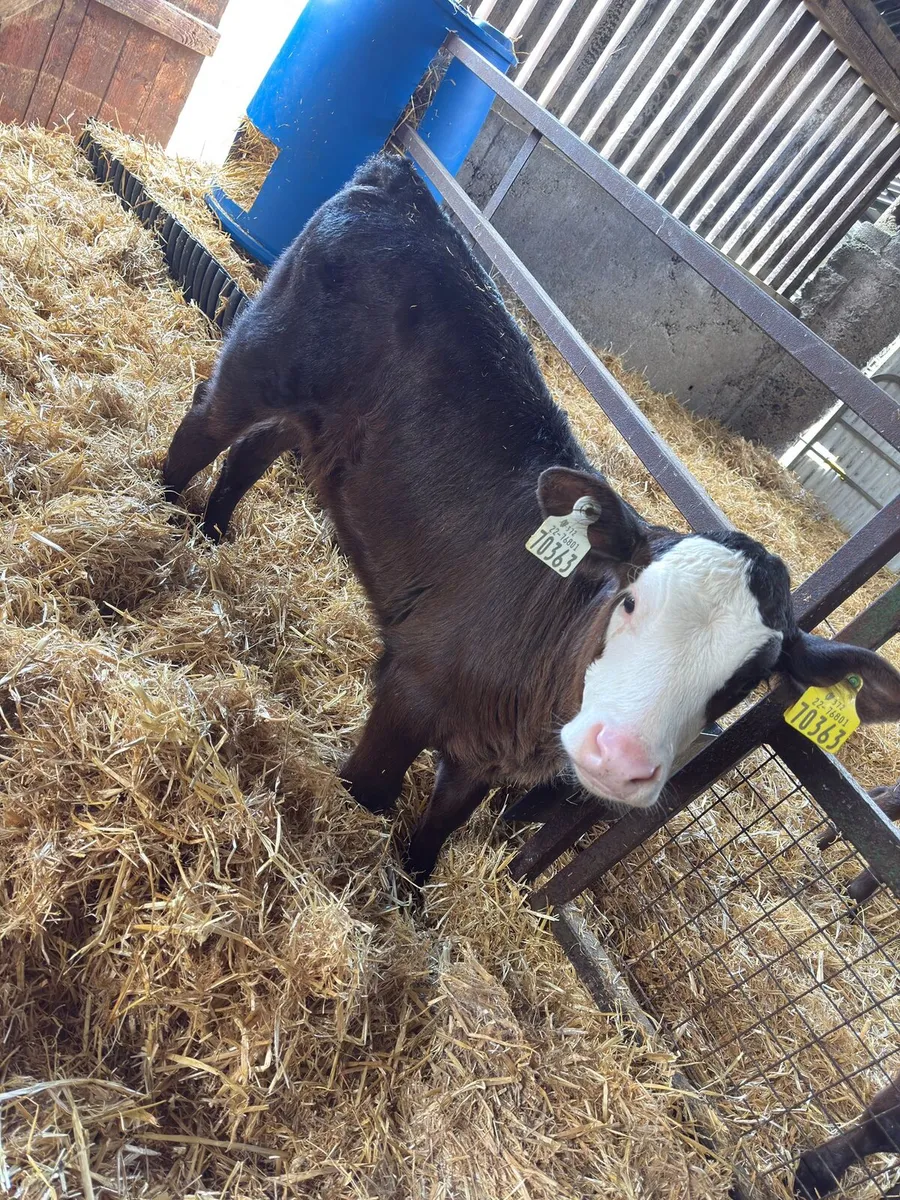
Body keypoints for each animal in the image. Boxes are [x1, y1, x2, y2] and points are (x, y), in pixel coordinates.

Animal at [162, 154, 900, 884]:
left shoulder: (481, 758)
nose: (618, 757)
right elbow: (369, 792)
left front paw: (415, 892)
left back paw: (215, 530)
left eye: (747, 681)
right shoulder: (409, 687)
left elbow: (438, 831)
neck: (527, 719)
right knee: (207, 419)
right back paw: (164, 514)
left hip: (320, 416)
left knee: (256, 448)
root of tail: (404, 180)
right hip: (266, 353)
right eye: (630, 601)